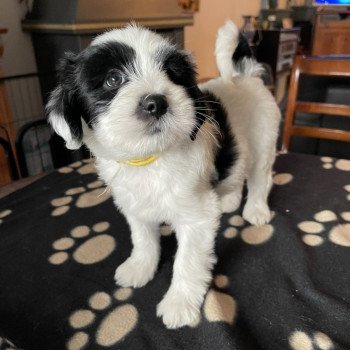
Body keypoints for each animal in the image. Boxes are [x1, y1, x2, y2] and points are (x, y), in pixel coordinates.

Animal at [47, 21, 282, 328]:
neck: (151, 158)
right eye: (113, 80)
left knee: (260, 177)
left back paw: (256, 210)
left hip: (264, 138)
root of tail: (246, 75)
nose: (155, 102)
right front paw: (140, 267)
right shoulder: (135, 207)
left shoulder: (197, 218)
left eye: (171, 74)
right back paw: (229, 200)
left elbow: (188, 261)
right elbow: (143, 239)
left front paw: (179, 304)